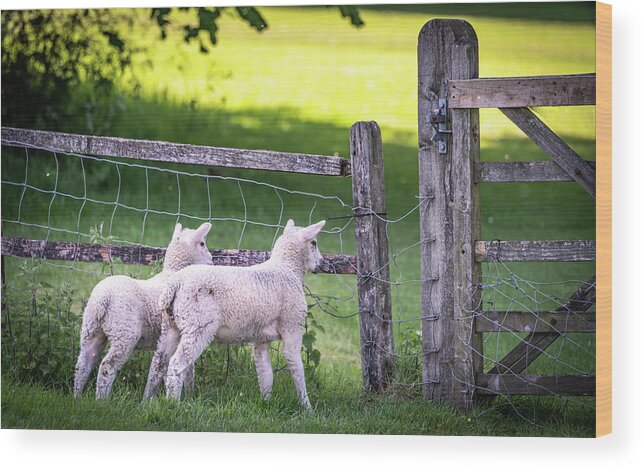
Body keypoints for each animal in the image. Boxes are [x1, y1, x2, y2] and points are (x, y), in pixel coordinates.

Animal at [73, 221, 214, 396]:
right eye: (202, 243)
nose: (212, 260)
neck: (173, 271)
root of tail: (102, 299)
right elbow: (188, 370)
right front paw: (190, 395)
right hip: (124, 333)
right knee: (107, 366)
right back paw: (102, 398)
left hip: (90, 330)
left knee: (82, 364)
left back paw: (77, 396)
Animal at [146, 218, 328, 408]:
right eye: (314, 243)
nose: (322, 262)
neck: (287, 269)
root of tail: (176, 283)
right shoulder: (292, 325)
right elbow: (296, 366)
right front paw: (307, 407)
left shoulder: (261, 337)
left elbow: (265, 372)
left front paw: (266, 402)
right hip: (198, 325)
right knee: (176, 364)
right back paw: (173, 404)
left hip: (170, 325)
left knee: (158, 362)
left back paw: (148, 401)